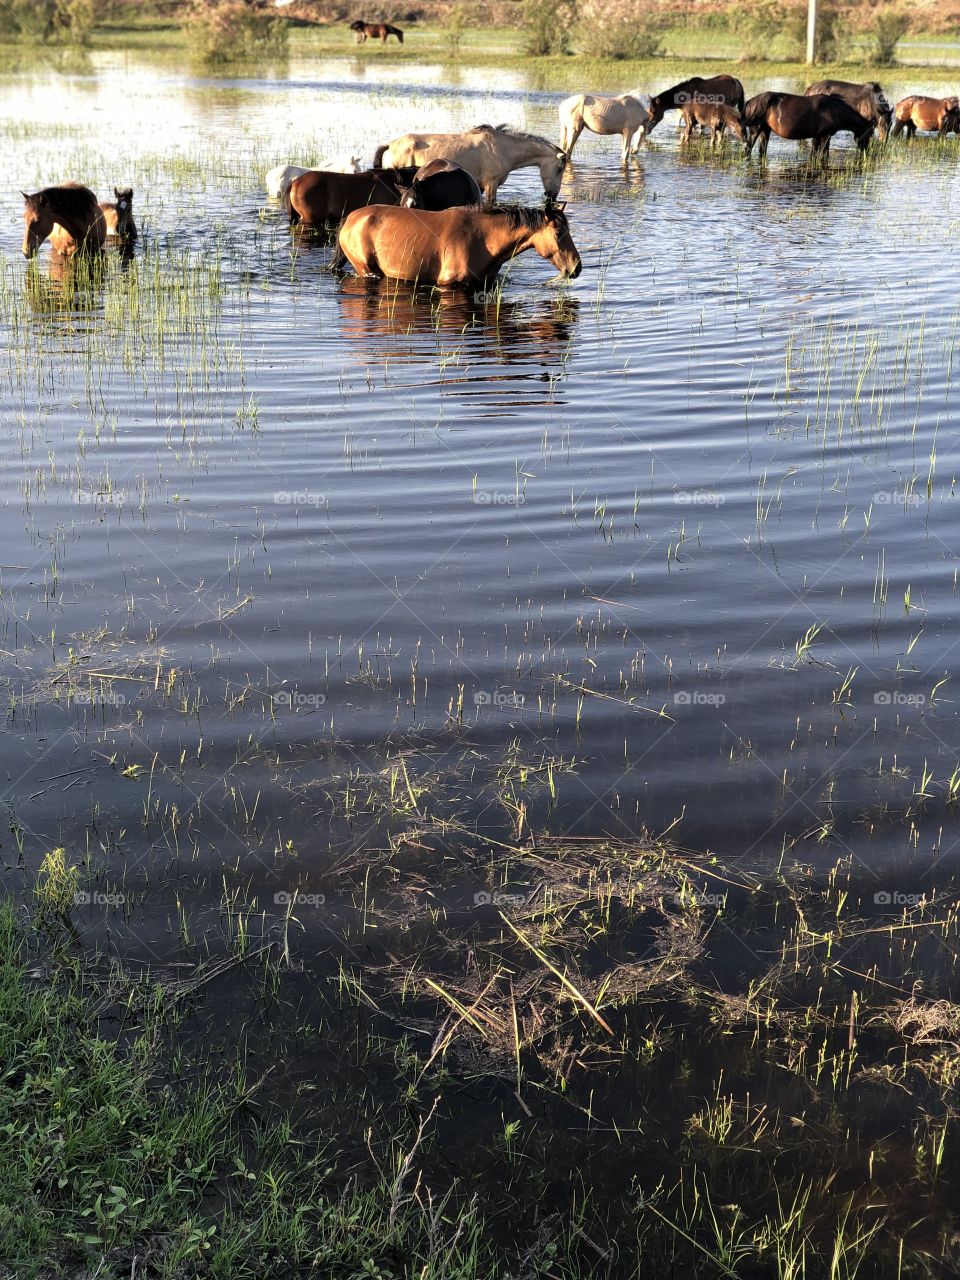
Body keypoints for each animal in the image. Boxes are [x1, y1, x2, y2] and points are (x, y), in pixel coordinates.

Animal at [743, 91, 874, 160]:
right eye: (870, 134)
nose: (866, 152)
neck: (833, 109)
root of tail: (751, 101)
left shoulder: (818, 136)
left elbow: (814, 154)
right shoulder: (825, 136)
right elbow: (823, 155)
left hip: (765, 130)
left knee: (762, 151)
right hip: (756, 129)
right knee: (748, 149)